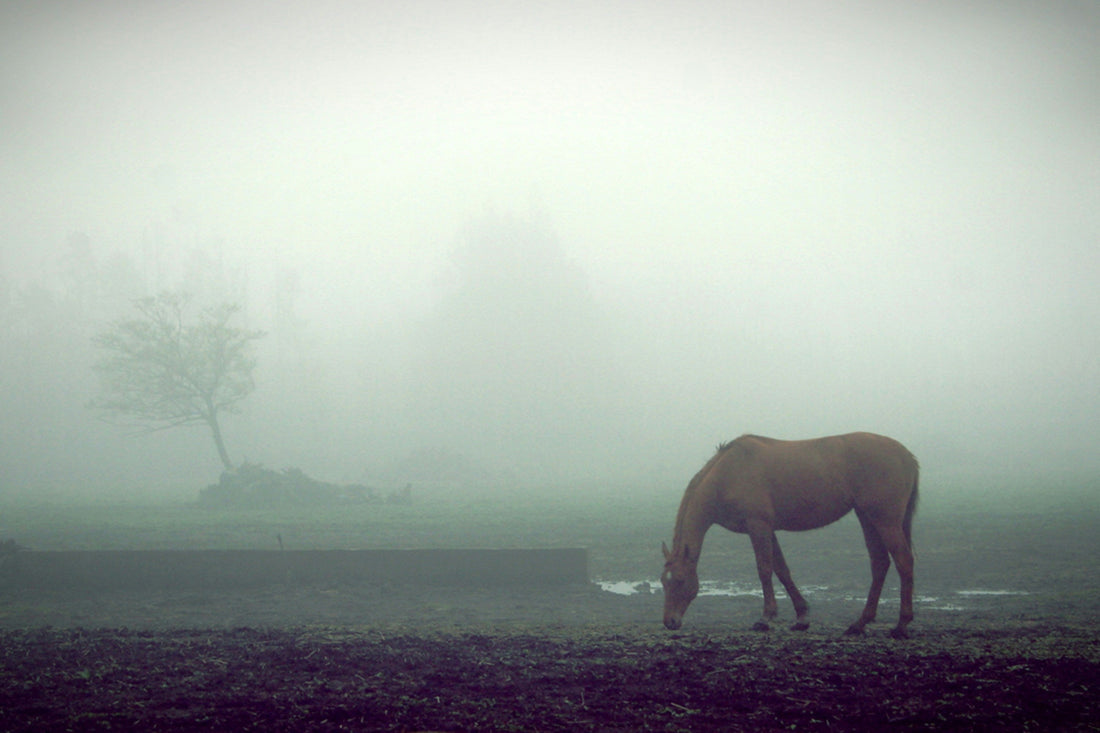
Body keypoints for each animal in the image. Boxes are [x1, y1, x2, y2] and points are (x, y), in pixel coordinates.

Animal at [661, 432, 919, 638]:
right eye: (664, 581)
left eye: (680, 580)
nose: (670, 622)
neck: (728, 474)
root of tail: (906, 455)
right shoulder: (768, 530)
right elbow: (782, 570)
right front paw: (802, 618)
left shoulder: (758, 527)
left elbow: (765, 570)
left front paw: (765, 618)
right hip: (867, 517)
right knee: (880, 563)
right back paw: (859, 623)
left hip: (885, 521)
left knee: (904, 562)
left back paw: (901, 625)